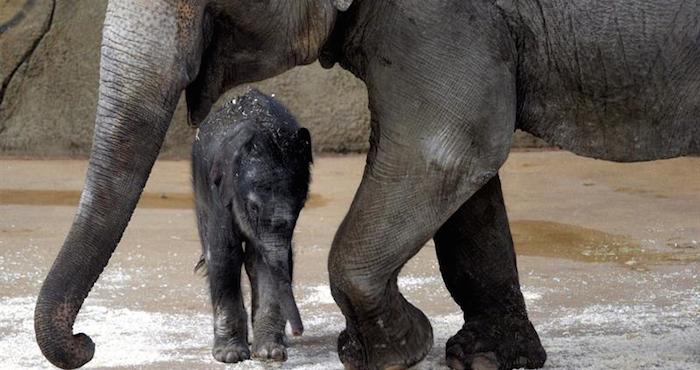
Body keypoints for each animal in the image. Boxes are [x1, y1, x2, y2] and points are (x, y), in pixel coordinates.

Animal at [191, 90, 312, 364]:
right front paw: (230, 356)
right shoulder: (219, 193)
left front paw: (269, 353)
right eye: (253, 207)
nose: (299, 332)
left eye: (301, 205)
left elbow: (264, 262)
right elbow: (224, 254)